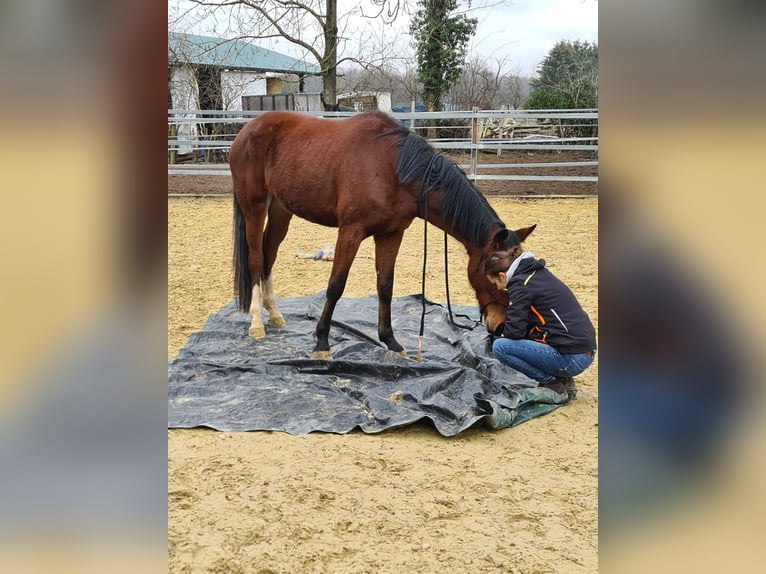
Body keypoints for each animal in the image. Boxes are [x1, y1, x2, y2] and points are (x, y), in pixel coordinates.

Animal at [229, 110, 535, 359]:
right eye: (497, 274)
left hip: (281, 210)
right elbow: (336, 285)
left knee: (269, 255)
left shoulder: (391, 235)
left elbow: (385, 286)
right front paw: (322, 342)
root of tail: (246, 130)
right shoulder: (351, 231)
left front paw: (391, 341)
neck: (394, 169)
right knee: (256, 259)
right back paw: (257, 323)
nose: (501, 326)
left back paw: (275, 315)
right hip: (254, 207)